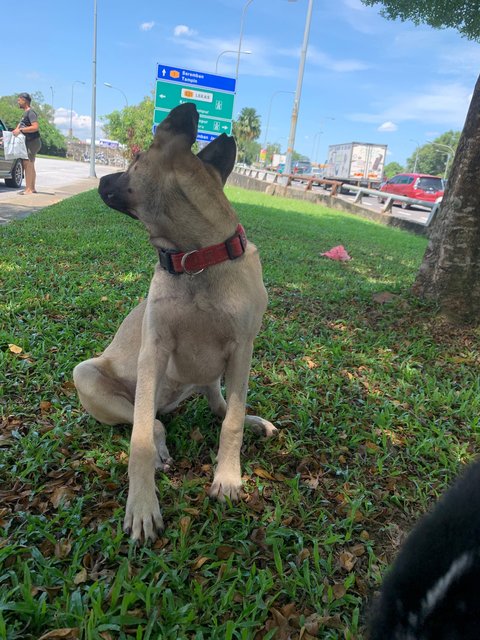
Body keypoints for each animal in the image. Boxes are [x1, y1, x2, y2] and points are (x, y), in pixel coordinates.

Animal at [74, 104, 278, 540]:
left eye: (134, 159)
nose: (100, 178)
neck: (196, 258)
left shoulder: (242, 351)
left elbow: (231, 422)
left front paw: (228, 477)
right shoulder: (154, 350)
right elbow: (139, 439)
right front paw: (142, 505)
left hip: (210, 376)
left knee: (218, 409)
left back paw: (252, 421)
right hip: (91, 377)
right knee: (150, 422)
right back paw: (160, 447)